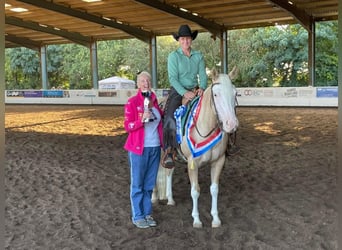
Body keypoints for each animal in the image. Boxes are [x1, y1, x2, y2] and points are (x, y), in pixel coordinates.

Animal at [152, 71, 238, 228]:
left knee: (169, 172)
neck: (205, 125)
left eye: (235, 93)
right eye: (216, 94)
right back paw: (154, 197)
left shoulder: (218, 161)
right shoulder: (193, 163)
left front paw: (215, 219)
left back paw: (170, 199)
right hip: (157, 150)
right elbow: (195, 190)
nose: (231, 124)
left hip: (171, 155)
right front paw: (196, 219)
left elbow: (214, 189)